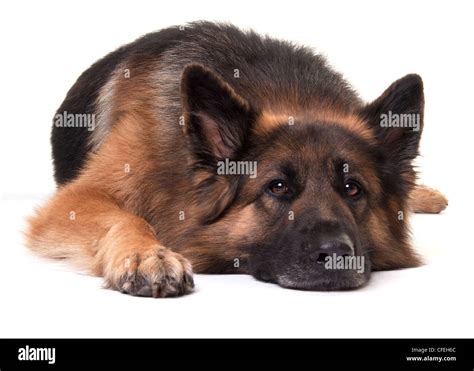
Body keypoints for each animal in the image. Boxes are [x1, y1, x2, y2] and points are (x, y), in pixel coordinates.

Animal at [25, 21, 448, 298]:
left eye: (352, 188)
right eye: (277, 187)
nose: (336, 256)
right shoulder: (77, 198)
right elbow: (122, 216)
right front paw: (146, 255)